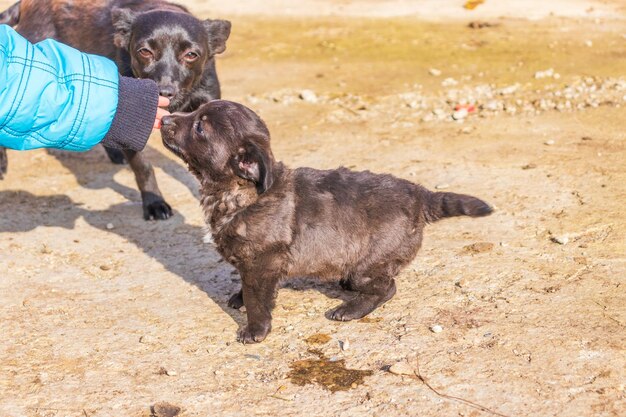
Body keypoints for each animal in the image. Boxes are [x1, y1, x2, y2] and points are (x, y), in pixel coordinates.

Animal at [0, 0, 230, 221]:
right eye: (145, 52)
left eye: (191, 55)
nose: (164, 92)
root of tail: (26, 3)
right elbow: (143, 167)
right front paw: (154, 203)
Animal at [158, 101, 490, 342]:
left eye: (199, 127)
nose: (165, 119)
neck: (239, 192)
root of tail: (420, 195)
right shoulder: (251, 263)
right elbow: (246, 286)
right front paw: (239, 298)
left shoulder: (262, 262)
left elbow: (257, 299)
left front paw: (255, 330)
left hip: (367, 266)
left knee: (387, 288)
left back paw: (350, 310)